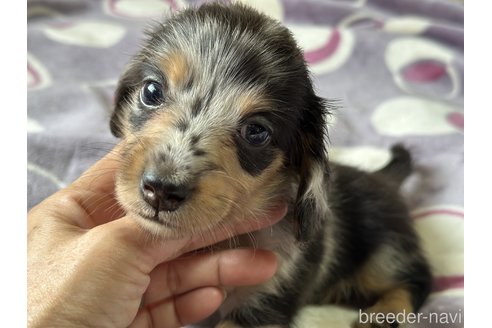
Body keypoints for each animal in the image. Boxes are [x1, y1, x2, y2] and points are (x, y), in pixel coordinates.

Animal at [110, 3, 430, 328]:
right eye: (152, 91)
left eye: (256, 131)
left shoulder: (270, 299)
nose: (161, 190)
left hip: (387, 250)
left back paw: (385, 314)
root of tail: (384, 178)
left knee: (417, 280)